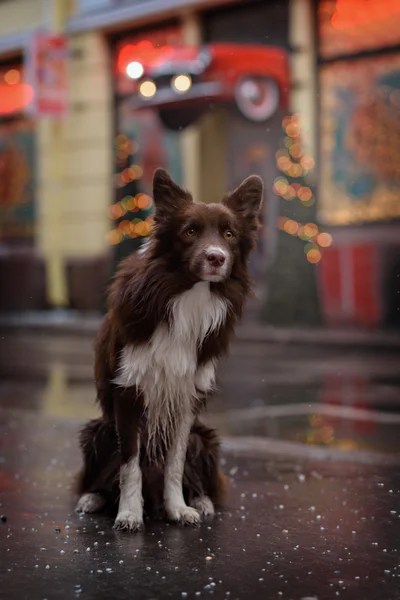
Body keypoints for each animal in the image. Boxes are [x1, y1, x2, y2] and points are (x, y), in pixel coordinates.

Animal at [76, 169, 262, 528]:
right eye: (190, 232)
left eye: (229, 234)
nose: (216, 257)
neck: (186, 295)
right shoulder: (128, 392)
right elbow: (129, 464)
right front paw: (129, 513)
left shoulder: (188, 397)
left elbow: (175, 462)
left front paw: (178, 508)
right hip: (97, 431)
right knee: (102, 476)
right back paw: (93, 498)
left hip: (205, 438)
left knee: (196, 473)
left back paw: (201, 501)